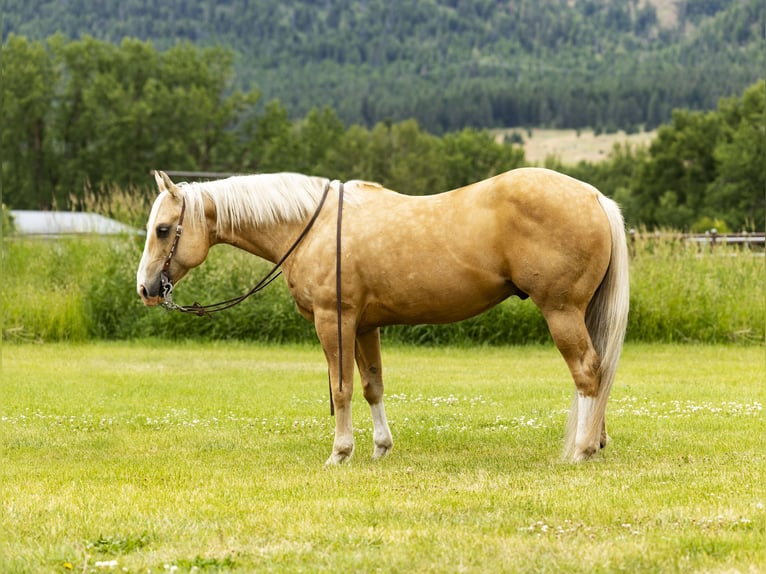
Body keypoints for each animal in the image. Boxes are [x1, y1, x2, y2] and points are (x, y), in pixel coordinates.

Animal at [138, 169, 632, 466]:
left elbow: (341, 388)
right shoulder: (364, 326)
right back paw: (596, 441)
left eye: (163, 229)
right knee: (599, 369)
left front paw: (340, 453)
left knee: (587, 371)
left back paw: (581, 450)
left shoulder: (333, 321)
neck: (313, 227)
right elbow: (372, 386)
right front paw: (380, 448)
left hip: (561, 311)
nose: (145, 288)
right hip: (581, 312)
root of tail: (595, 197)